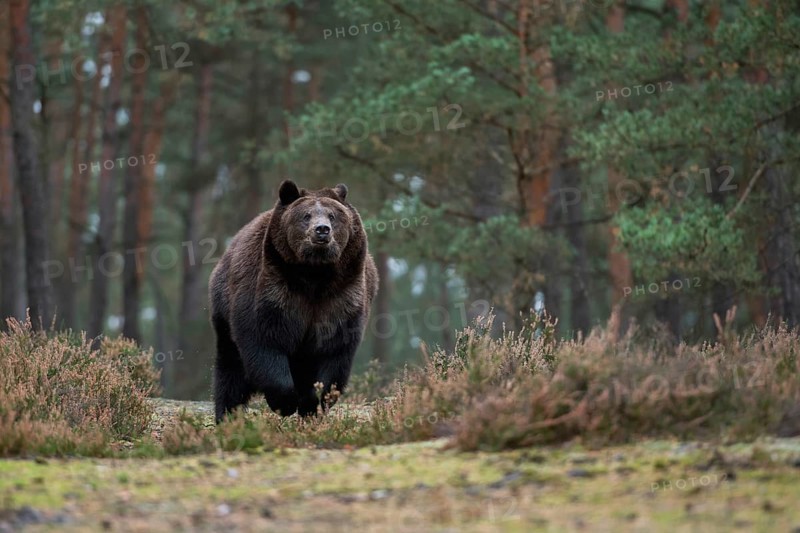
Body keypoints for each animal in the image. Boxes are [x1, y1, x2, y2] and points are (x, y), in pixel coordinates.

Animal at [209, 179, 378, 423]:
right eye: (306, 215)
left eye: (332, 215)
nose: (322, 230)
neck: (314, 275)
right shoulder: (272, 290)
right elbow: (264, 339)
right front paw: (285, 402)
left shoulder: (342, 297)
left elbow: (334, 351)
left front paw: (312, 403)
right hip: (224, 312)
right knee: (231, 370)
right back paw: (228, 416)